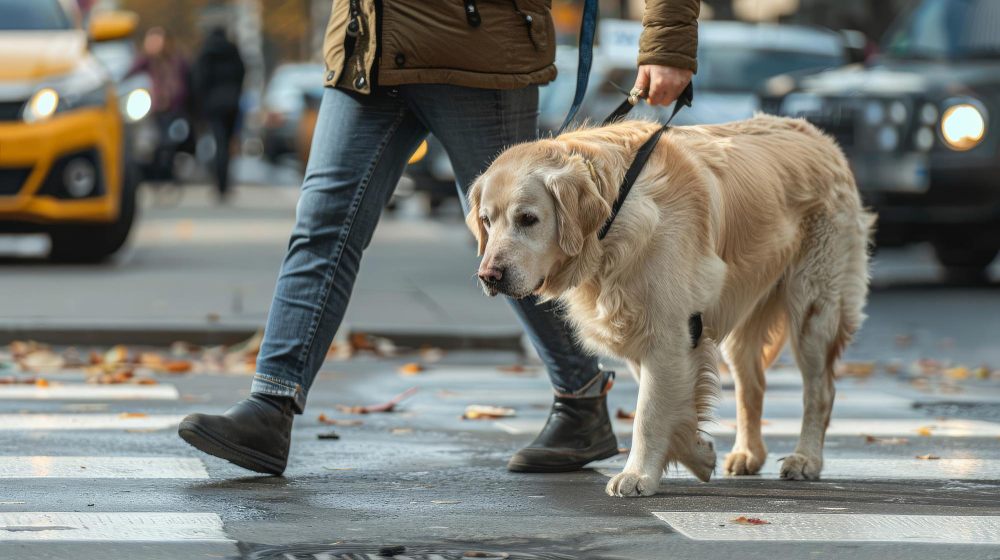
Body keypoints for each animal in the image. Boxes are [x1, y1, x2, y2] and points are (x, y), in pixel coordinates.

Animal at [464, 116, 872, 496]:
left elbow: (649, 411)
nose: (489, 276)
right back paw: (748, 453)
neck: (616, 211)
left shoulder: (669, 329)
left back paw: (806, 458)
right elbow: (672, 403)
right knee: (752, 384)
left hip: (814, 306)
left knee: (820, 389)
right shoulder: (641, 326)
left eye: (528, 218)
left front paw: (637, 475)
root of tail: (822, 138)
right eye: (486, 220)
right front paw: (697, 451)